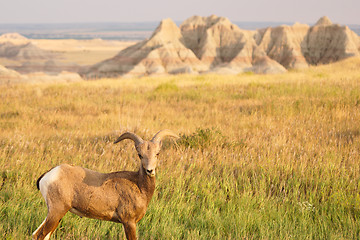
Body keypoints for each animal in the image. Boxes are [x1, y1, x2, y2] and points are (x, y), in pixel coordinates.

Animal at [32, 130, 179, 239]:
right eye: (140, 155)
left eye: (157, 154)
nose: (150, 170)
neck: (138, 186)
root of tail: (48, 175)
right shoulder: (129, 223)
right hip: (57, 212)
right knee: (39, 235)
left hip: (56, 214)